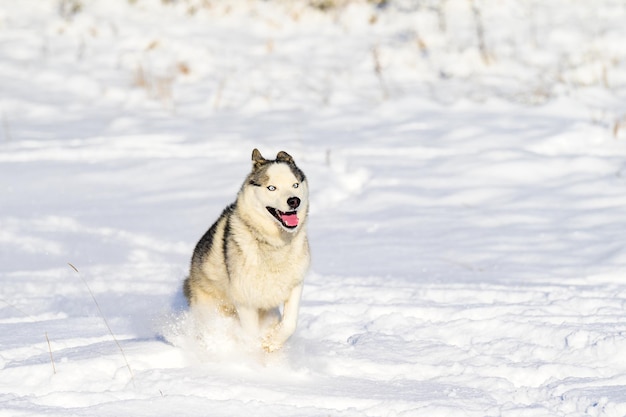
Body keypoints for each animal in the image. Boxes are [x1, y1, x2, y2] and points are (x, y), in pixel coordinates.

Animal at [183, 148, 310, 350]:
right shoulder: (245, 301)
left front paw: (272, 343)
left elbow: (289, 324)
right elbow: (251, 337)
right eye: (271, 188)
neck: (274, 244)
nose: (294, 201)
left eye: (295, 184)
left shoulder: (295, 286)